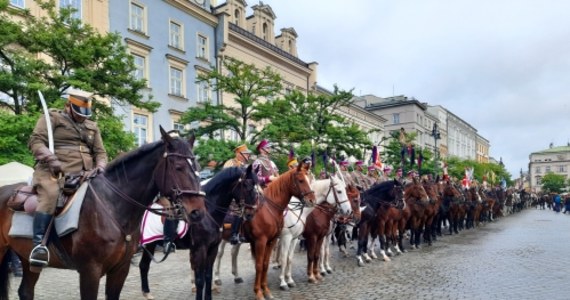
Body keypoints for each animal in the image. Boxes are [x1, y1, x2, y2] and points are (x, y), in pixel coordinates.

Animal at [0, 126, 204, 300]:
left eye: (197, 168)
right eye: (178, 167)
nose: (198, 213)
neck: (113, 205)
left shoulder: (120, 270)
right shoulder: (90, 271)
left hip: (27, 259)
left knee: (26, 291)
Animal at [139, 165, 258, 300]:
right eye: (247, 186)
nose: (251, 213)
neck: (208, 213)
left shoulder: (212, 248)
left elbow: (208, 276)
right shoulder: (200, 249)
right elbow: (200, 280)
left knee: (143, 265)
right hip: (147, 244)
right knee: (143, 265)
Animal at [241, 164, 316, 300]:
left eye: (309, 179)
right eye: (301, 180)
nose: (312, 200)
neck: (269, 209)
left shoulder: (276, 240)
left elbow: (267, 263)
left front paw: (266, 289)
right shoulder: (264, 241)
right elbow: (262, 264)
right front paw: (261, 291)